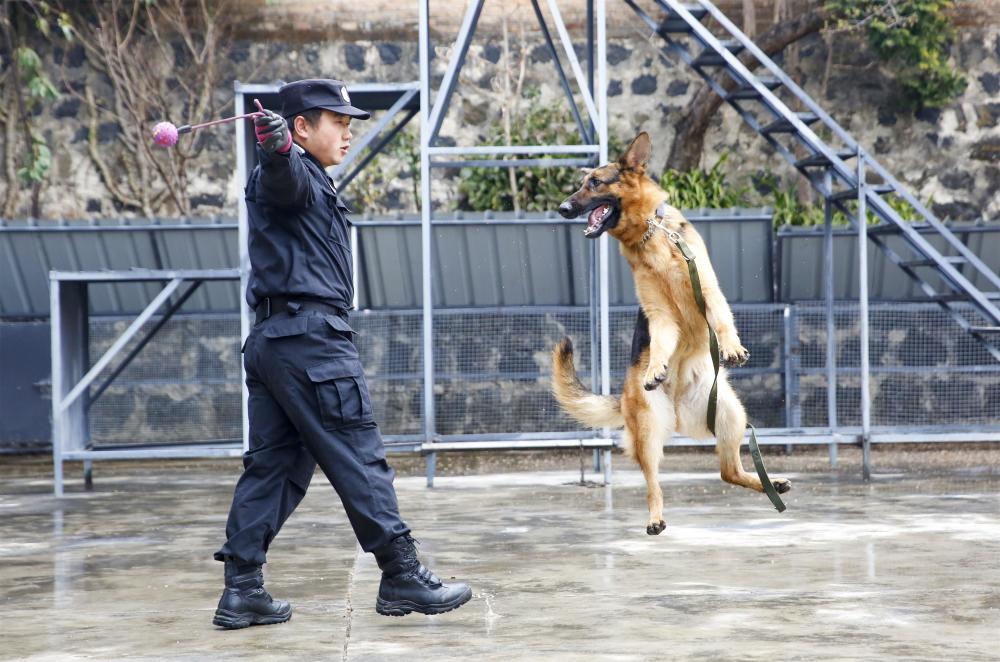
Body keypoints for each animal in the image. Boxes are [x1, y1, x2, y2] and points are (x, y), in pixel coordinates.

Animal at [556, 132, 788, 536]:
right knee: (656, 484)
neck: (652, 236)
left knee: (729, 471)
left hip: (730, 415)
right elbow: (662, 343)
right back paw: (655, 518)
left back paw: (770, 482)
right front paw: (656, 368)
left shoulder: (708, 291)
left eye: (595, 183)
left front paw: (732, 346)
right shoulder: (660, 317)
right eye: (582, 183)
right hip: (650, 431)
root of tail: (678, 407)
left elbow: (722, 320)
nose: (562, 207)